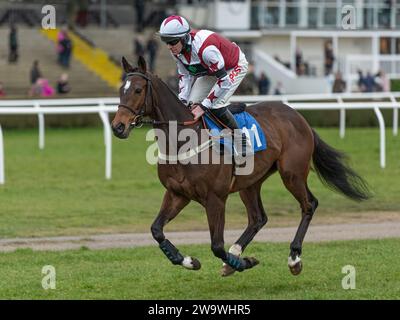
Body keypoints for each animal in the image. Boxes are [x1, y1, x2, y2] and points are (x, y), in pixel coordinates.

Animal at [111, 57, 370, 278]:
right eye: (121, 89)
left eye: (137, 90)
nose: (118, 127)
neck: (183, 140)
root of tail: (298, 117)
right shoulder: (177, 193)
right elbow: (156, 230)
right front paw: (189, 261)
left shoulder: (215, 199)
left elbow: (216, 245)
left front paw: (244, 262)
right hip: (250, 182)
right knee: (258, 218)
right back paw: (235, 254)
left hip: (292, 174)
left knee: (309, 204)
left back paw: (293, 258)